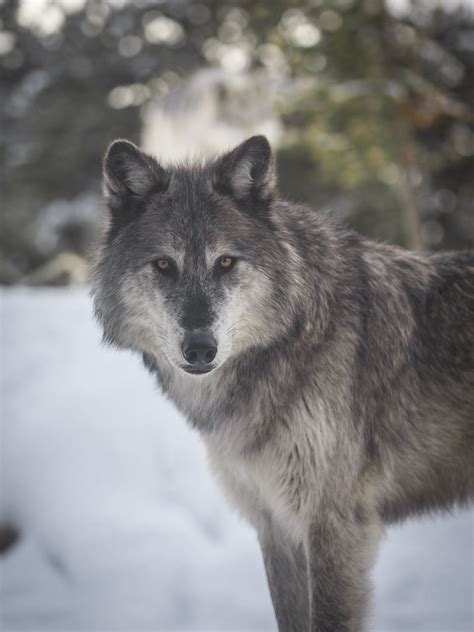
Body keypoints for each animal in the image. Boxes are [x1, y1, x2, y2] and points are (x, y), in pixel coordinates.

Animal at [91, 136, 474, 628]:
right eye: (162, 264)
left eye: (225, 262)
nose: (200, 349)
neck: (294, 338)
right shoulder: (275, 524)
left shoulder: (333, 526)